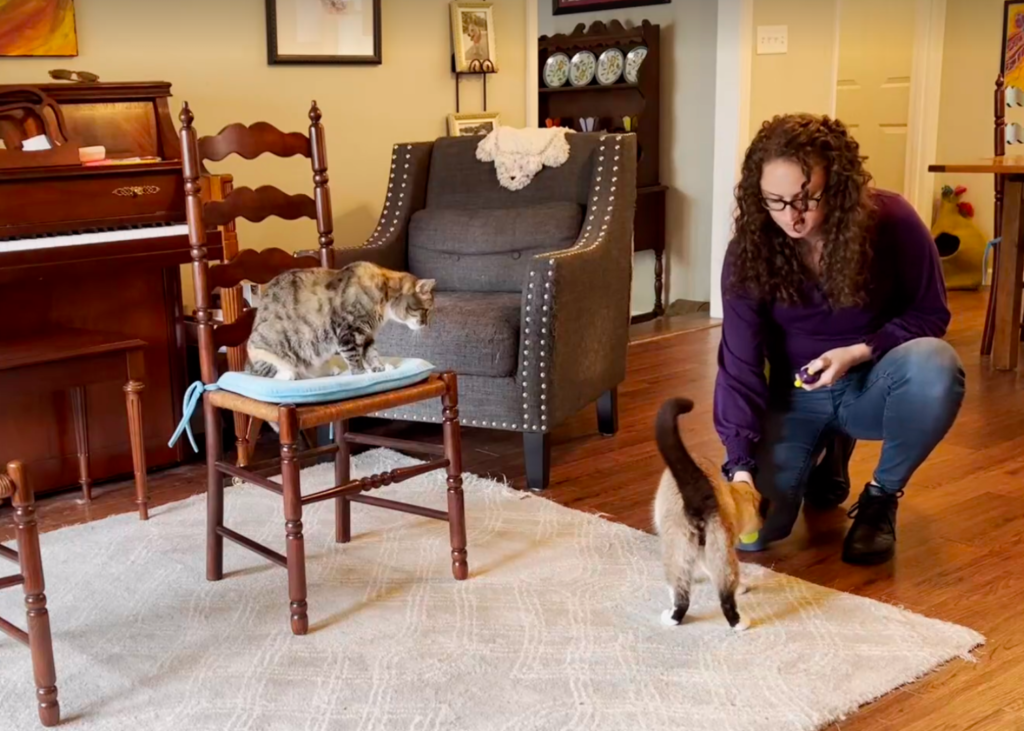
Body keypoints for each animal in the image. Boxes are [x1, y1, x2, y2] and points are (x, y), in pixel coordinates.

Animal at [245, 259, 434, 378]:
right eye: (425, 310)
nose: (426, 324)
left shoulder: (367, 334)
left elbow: (371, 353)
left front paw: (379, 367)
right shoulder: (349, 331)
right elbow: (354, 356)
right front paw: (362, 372)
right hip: (272, 348)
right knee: (277, 372)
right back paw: (291, 373)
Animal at [655, 395, 761, 630]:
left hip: (677, 549)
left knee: (681, 596)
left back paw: (670, 617)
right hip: (721, 550)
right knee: (726, 595)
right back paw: (740, 623)